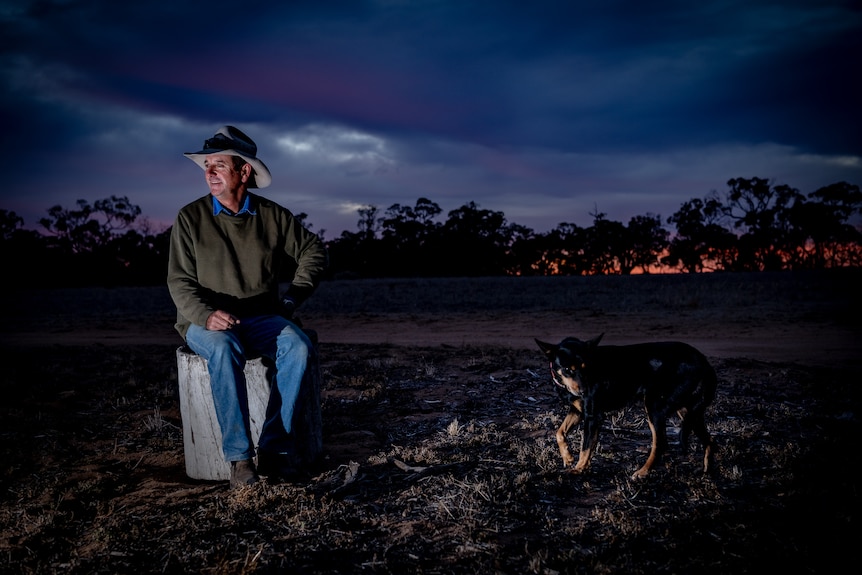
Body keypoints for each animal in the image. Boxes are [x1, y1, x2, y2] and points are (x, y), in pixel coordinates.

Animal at [536, 336, 720, 480]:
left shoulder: (593, 416)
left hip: (654, 406)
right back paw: (707, 471)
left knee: (660, 444)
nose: (583, 391)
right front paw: (568, 458)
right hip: (688, 411)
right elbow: (559, 433)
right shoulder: (577, 411)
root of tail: (704, 363)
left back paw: (642, 472)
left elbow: (585, 446)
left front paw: (579, 469)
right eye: (567, 369)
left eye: (585, 367)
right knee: (710, 440)